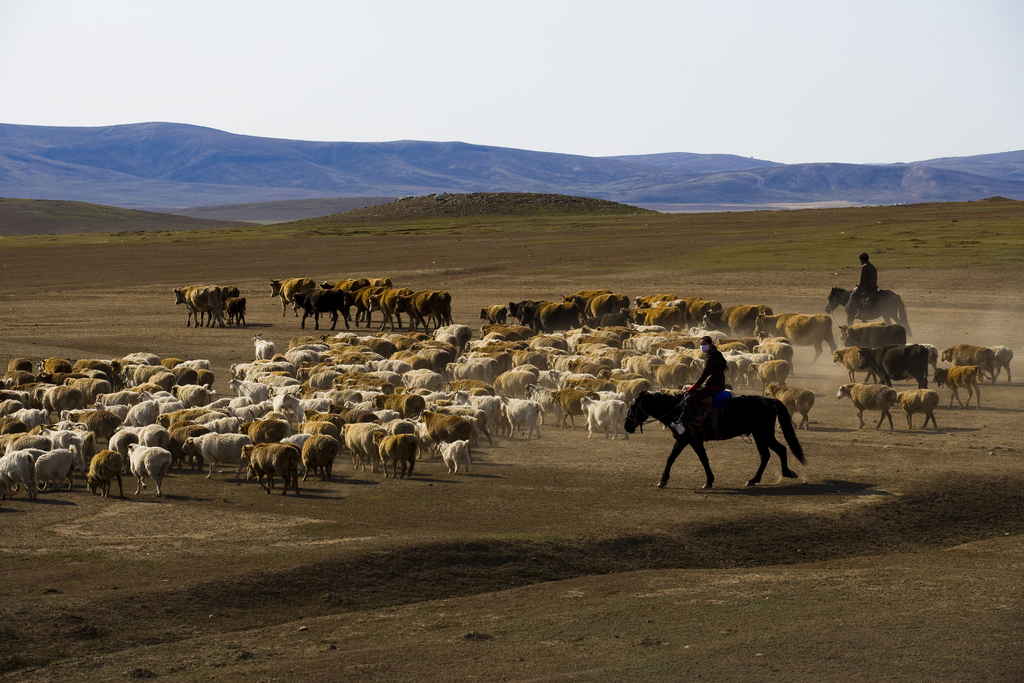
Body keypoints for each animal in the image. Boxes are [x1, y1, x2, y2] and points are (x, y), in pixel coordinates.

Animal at [622, 389, 806, 491]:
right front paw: (663, 480)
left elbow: (698, 459)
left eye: (633, 406)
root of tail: (768, 400)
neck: (678, 410)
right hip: (760, 435)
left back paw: (783, 473)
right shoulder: (685, 440)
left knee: (778, 450)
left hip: (763, 434)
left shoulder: (690, 440)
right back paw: (756, 479)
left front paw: (708, 481)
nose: (626, 425)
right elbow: (673, 458)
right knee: (768, 454)